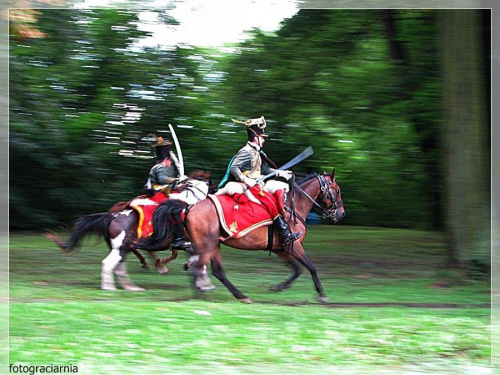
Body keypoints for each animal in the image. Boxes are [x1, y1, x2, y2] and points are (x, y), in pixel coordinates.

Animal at [44, 177, 213, 294]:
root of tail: (112, 216)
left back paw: (131, 287)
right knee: (108, 264)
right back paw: (110, 288)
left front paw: (205, 283)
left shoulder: (191, 247)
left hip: (123, 249)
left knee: (119, 268)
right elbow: (200, 262)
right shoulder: (192, 244)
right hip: (121, 248)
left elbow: (199, 262)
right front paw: (205, 283)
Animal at [137, 172, 348, 304]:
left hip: (213, 246)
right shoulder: (294, 245)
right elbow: (311, 267)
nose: (341, 214)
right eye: (337, 190)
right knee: (200, 268)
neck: (291, 206)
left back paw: (239, 295)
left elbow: (297, 269)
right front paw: (321, 294)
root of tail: (189, 207)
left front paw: (278, 287)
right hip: (207, 246)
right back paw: (204, 295)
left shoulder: (282, 249)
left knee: (216, 271)